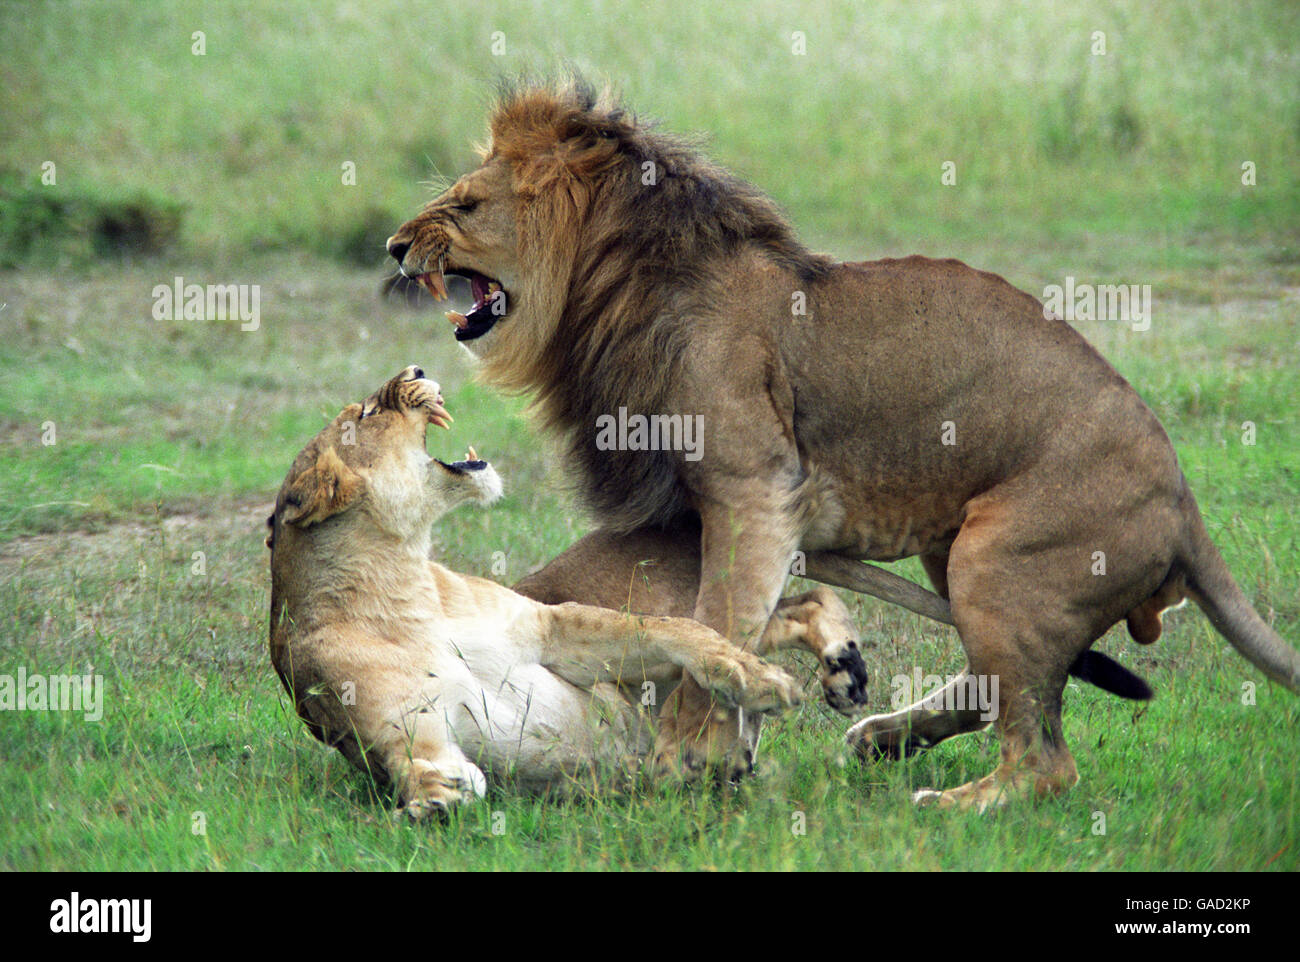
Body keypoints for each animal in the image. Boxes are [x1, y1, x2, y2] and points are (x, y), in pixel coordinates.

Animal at [266, 365, 881, 817]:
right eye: (368, 413)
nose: (415, 368)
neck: (406, 585)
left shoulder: (549, 626)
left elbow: (676, 634)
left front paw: (761, 682)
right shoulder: (408, 734)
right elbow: (431, 771)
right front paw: (430, 803)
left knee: (760, 618)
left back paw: (837, 671)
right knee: (788, 613)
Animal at [385, 79, 1299, 809]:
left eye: (464, 205)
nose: (394, 248)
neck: (613, 291)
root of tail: (1183, 503)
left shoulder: (755, 491)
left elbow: (715, 629)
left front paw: (685, 759)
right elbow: (723, 623)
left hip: (1000, 554)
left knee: (1045, 762)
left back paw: (952, 802)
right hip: (955, 554)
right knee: (1002, 687)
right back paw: (884, 735)